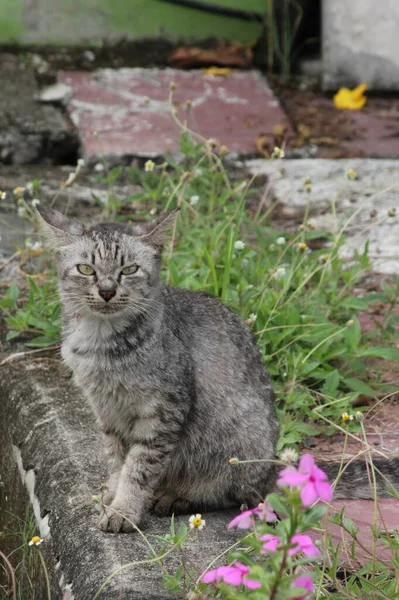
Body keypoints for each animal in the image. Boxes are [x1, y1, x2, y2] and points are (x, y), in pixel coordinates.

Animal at [38, 207, 399, 536]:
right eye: (86, 269)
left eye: (129, 270)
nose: (107, 290)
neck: (100, 344)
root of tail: (273, 464)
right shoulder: (106, 410)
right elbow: (117, 460)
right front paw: (112, 494)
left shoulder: (164, 408)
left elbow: (139, 467)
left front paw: (125, 509)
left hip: (238, 445)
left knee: (236, 495)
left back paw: (177, 498)